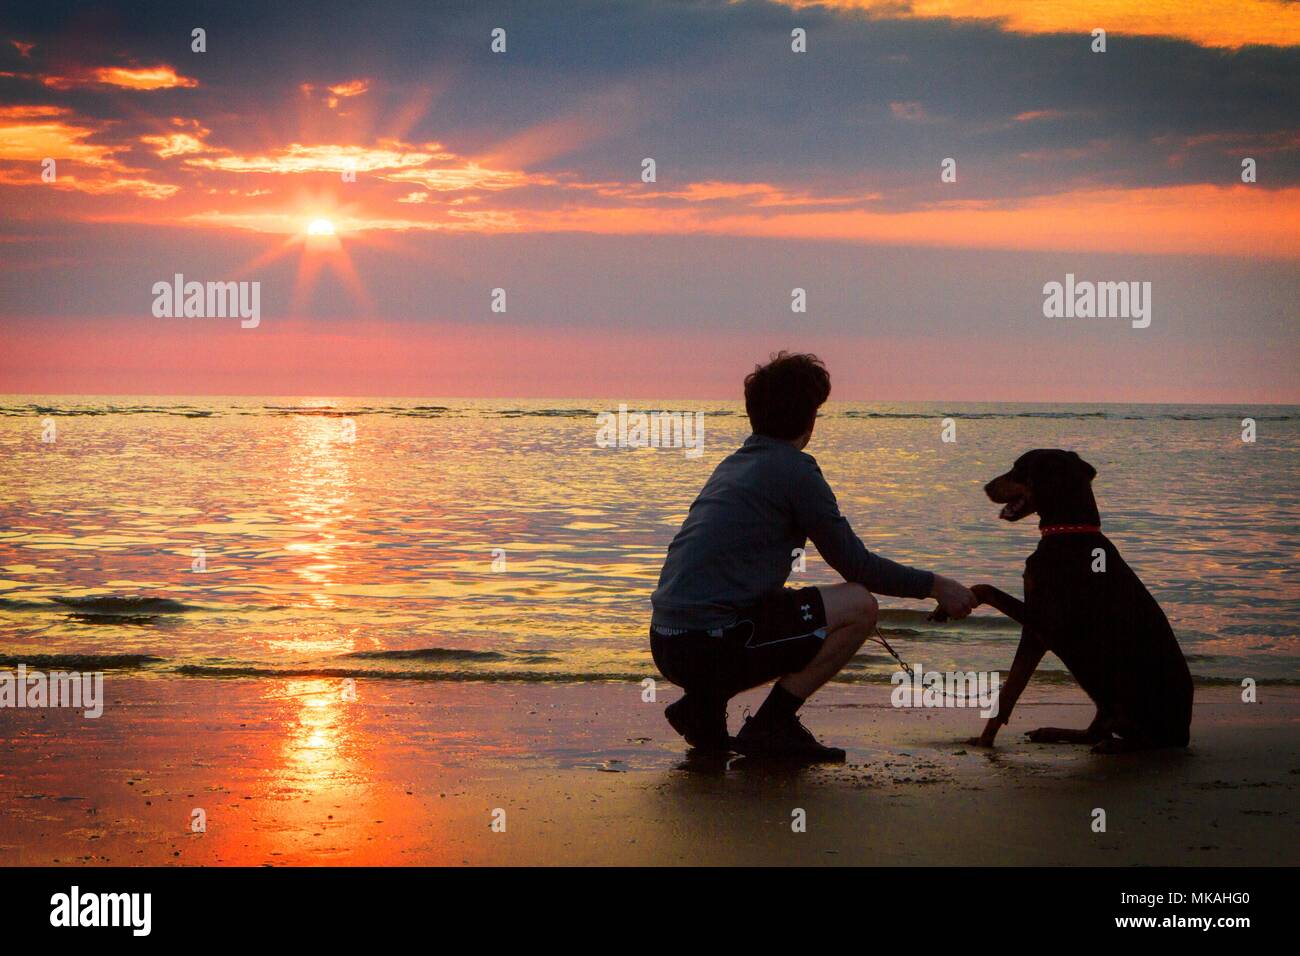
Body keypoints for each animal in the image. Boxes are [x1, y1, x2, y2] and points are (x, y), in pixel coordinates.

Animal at [967, 450, 1190, 754]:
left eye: (1020, 469)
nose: (986, 487)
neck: (1068, 531)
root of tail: (1185, 733)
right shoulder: (1037, 631)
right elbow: (1012, 688)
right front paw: (985, 740)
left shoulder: (1043, 623)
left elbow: (989, 592)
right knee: (1096, 731)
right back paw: (1053, 732)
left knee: (1150, 742)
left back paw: (1116, 746)